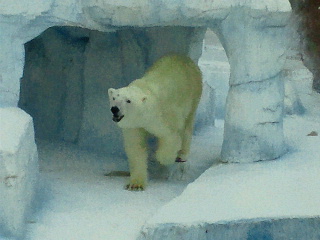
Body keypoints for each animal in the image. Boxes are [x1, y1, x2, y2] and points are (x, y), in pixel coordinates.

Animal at [109, 54, 201, 189]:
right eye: (114, 97)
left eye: (128, 100)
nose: (115, 109)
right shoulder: (134, 125)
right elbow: (136, 148)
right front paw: (136, 184)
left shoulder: (165, 115)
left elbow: (171, 136)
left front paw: (162, 158)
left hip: (194, 93)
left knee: (188, 125)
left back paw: (181, 155)